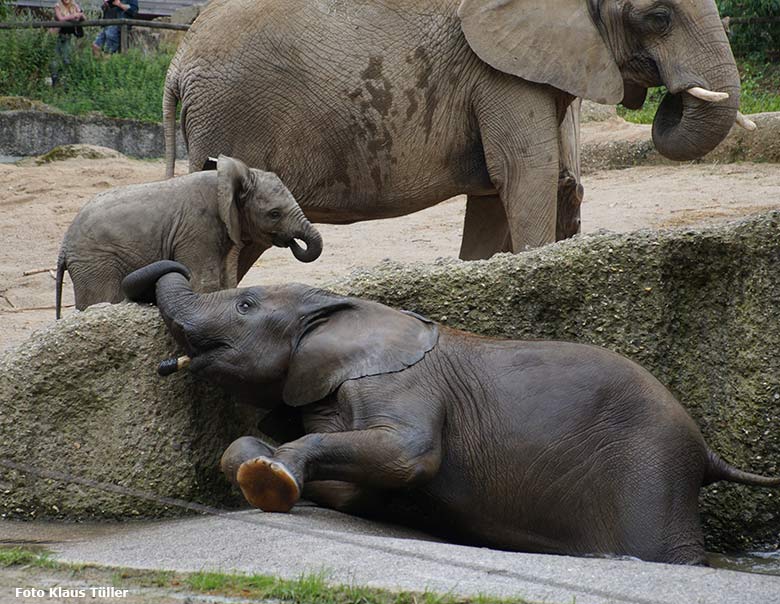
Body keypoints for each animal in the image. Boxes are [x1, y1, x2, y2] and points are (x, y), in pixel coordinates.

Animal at [54, 156, 322, 318]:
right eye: (274, 214)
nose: (292, 241)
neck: (227, 180)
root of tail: (64, 246)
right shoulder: (198, 228)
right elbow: (205, 281)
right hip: (95, 263)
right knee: (102, 298)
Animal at [122, 262, 780, 564]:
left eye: (246, 303)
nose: (166, 364)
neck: (344, 307)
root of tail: (706, 451)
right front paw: (260, 461)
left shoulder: (404, 384)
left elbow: (409, 455)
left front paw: (269, 479)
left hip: (650, 472)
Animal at [163, 0, 748, 268]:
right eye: (658, 17)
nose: (673, 92)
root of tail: (176, 63)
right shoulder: (499, 72)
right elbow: (525, 174)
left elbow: (496, 195)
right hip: (231, 118)